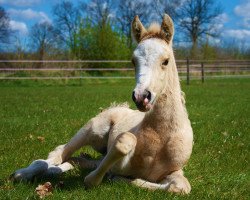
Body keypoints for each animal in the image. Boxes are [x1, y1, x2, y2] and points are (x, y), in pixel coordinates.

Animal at [11, 14, 193, 195]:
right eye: (133, 61)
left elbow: (180, 187)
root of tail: (117, 107)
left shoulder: (173, 171)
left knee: (75, 160)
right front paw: (99, 178)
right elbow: (124, 142)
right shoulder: (119, 160)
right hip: (91, 130)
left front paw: (122, 179)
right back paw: (22, 174)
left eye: (166, 61)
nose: (141, 97)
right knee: (58, 154)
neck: (160, 136)